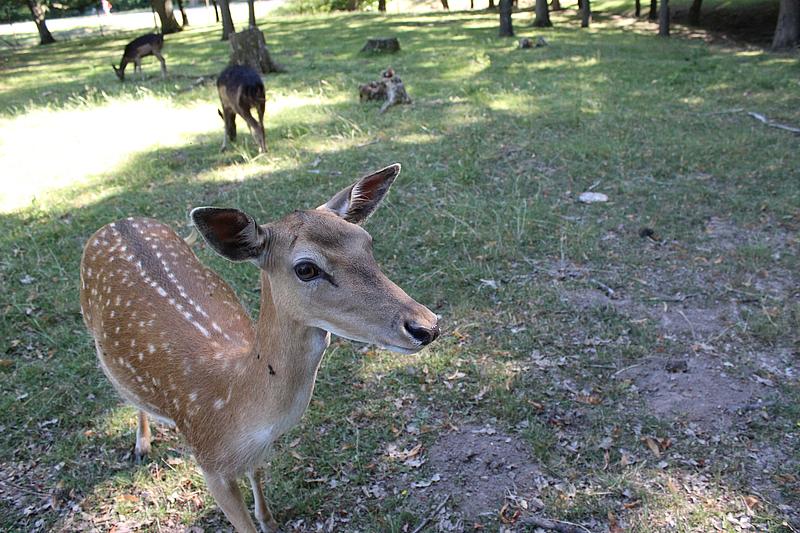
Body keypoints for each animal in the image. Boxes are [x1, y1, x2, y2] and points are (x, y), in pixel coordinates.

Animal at [78, 164, 440, 528]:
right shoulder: (209, 465)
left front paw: (269, 520)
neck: (233, 400)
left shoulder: (254, 453)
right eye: (306, 268)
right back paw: (142, 445)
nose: (427, 325)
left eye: (367, 242)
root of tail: (117, 222)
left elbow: (257, 475)